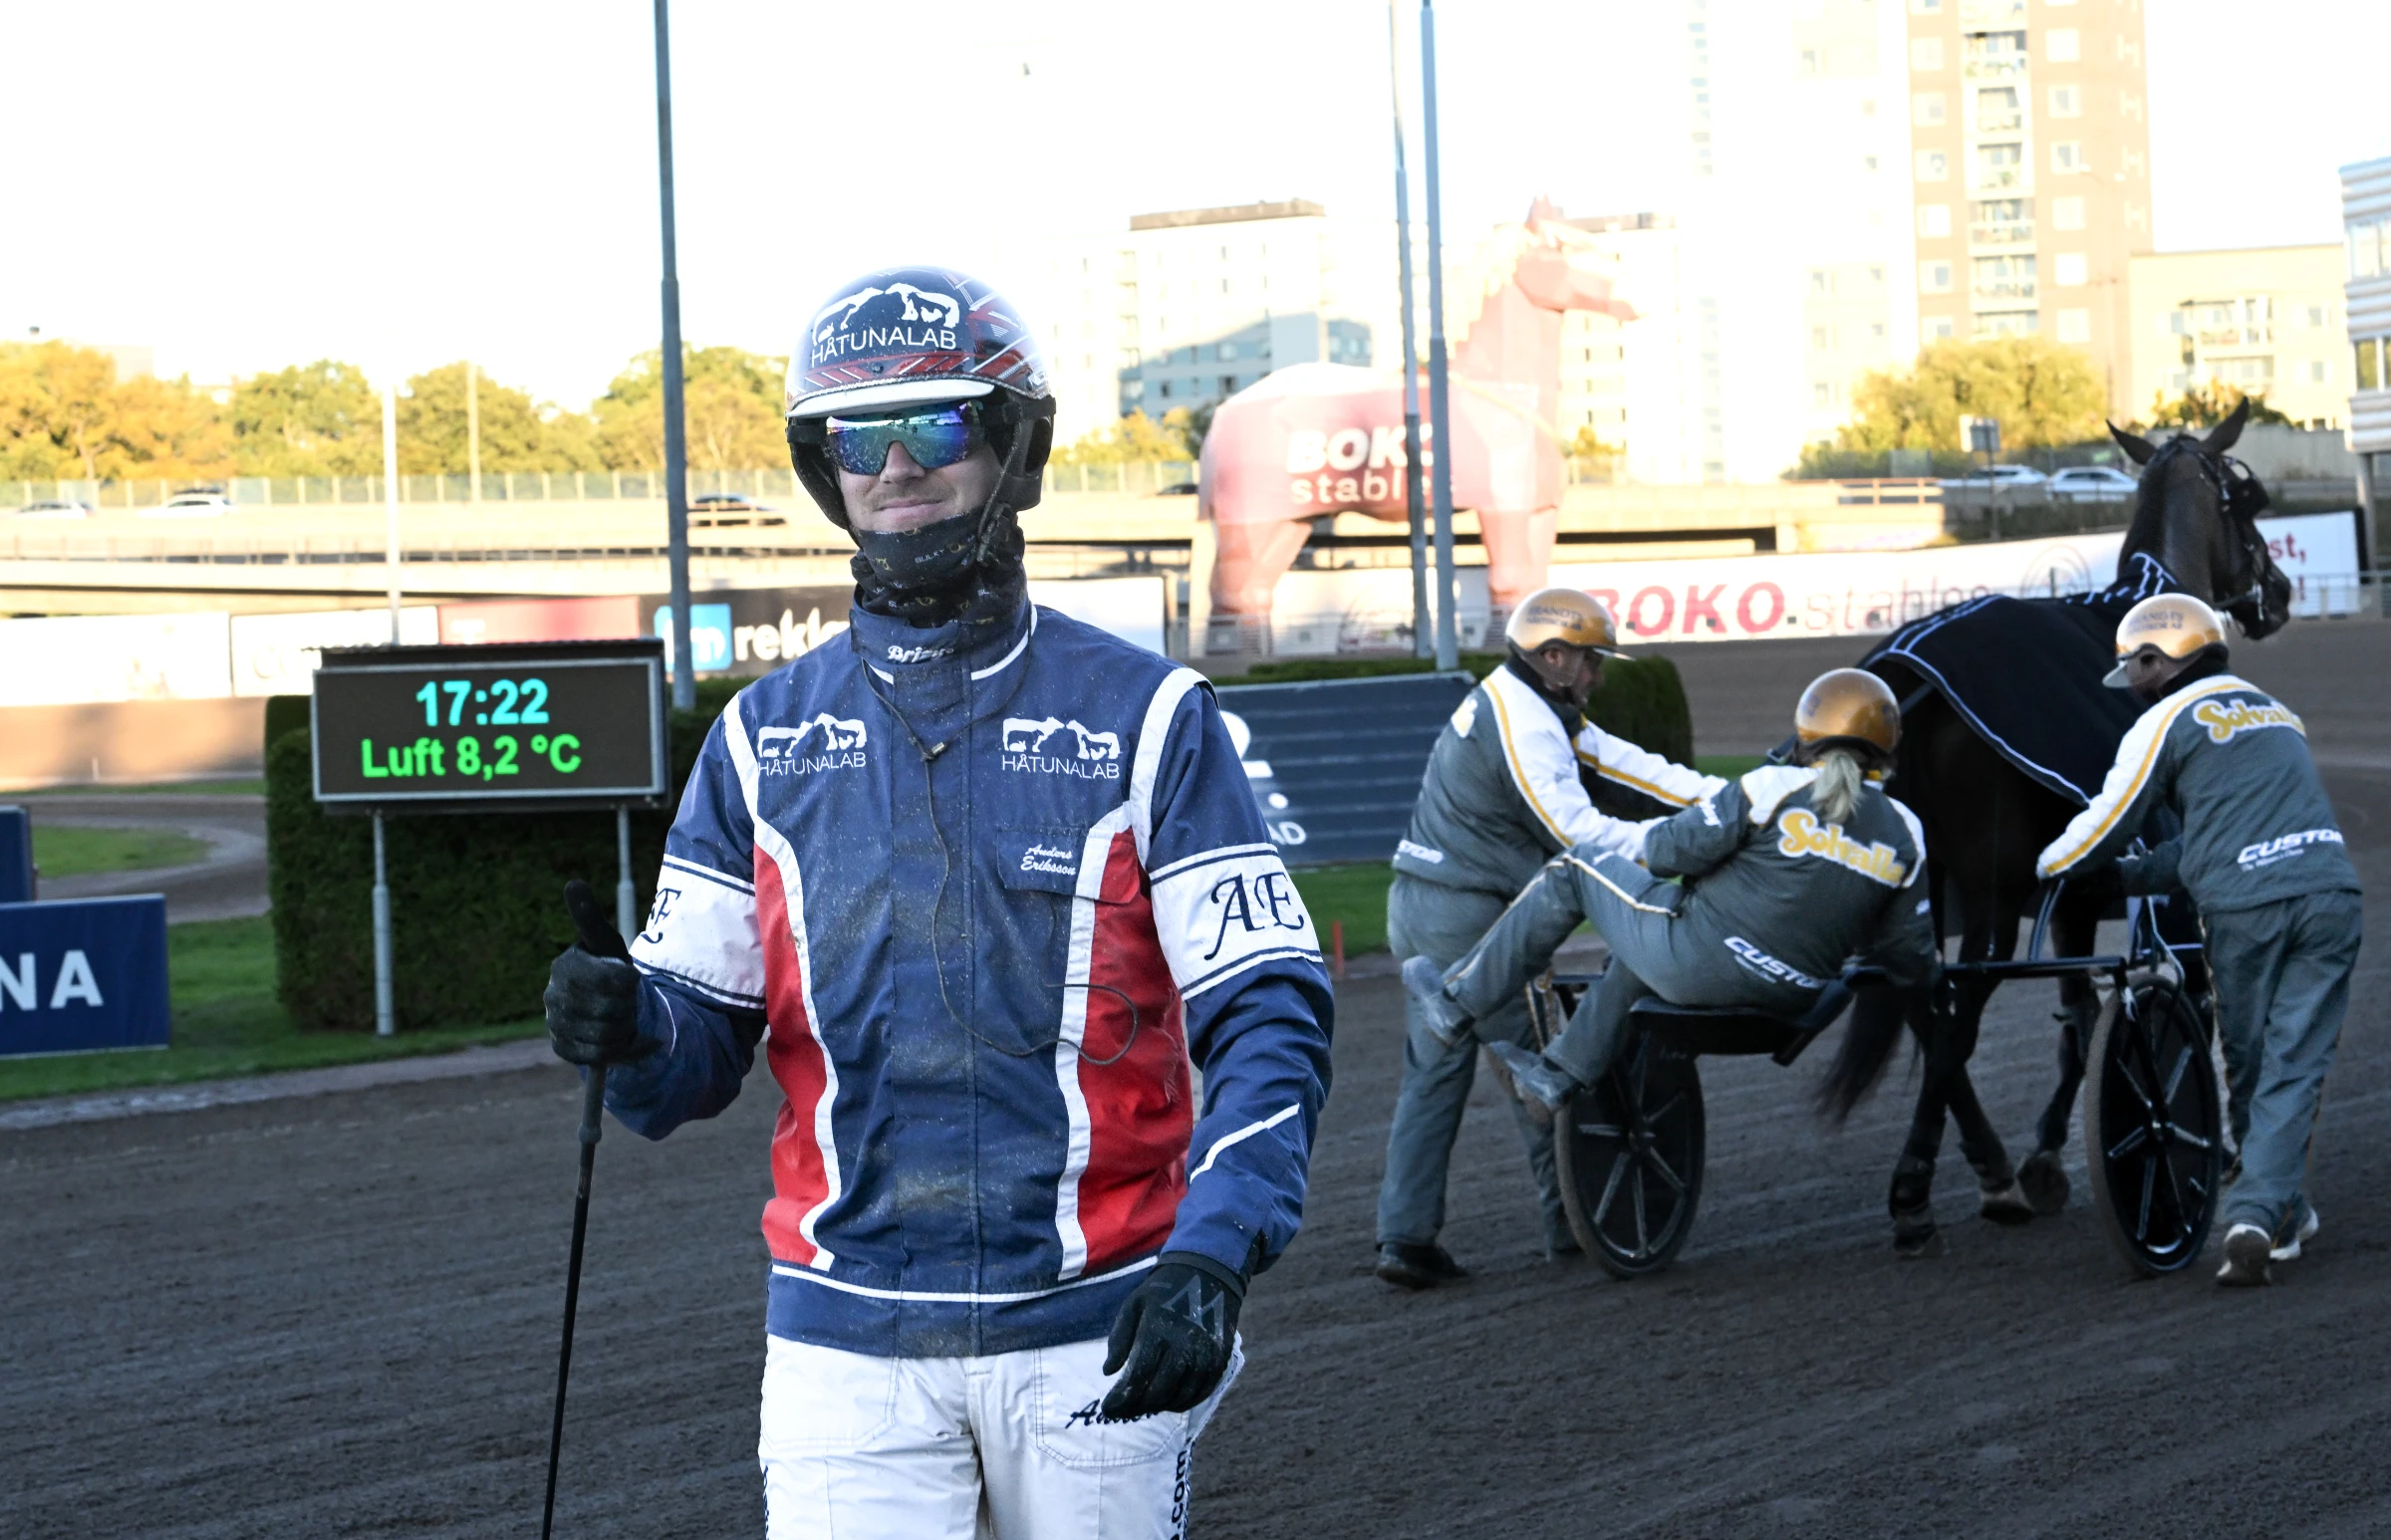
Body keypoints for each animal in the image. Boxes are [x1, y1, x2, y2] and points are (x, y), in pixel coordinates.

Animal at [1826, 403, 2295, 1252]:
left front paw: (2043, 1155)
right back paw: (1923, 1183)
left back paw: (1984, 1163)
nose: (2275, 591)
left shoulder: (2075, 895)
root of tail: (1906, 669)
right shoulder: (2125, 881)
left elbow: (2076, 1014)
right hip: (1988, 889)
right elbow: (2140, 1000)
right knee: (1962, 1007)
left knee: (1924, 1002)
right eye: (2247, 503)